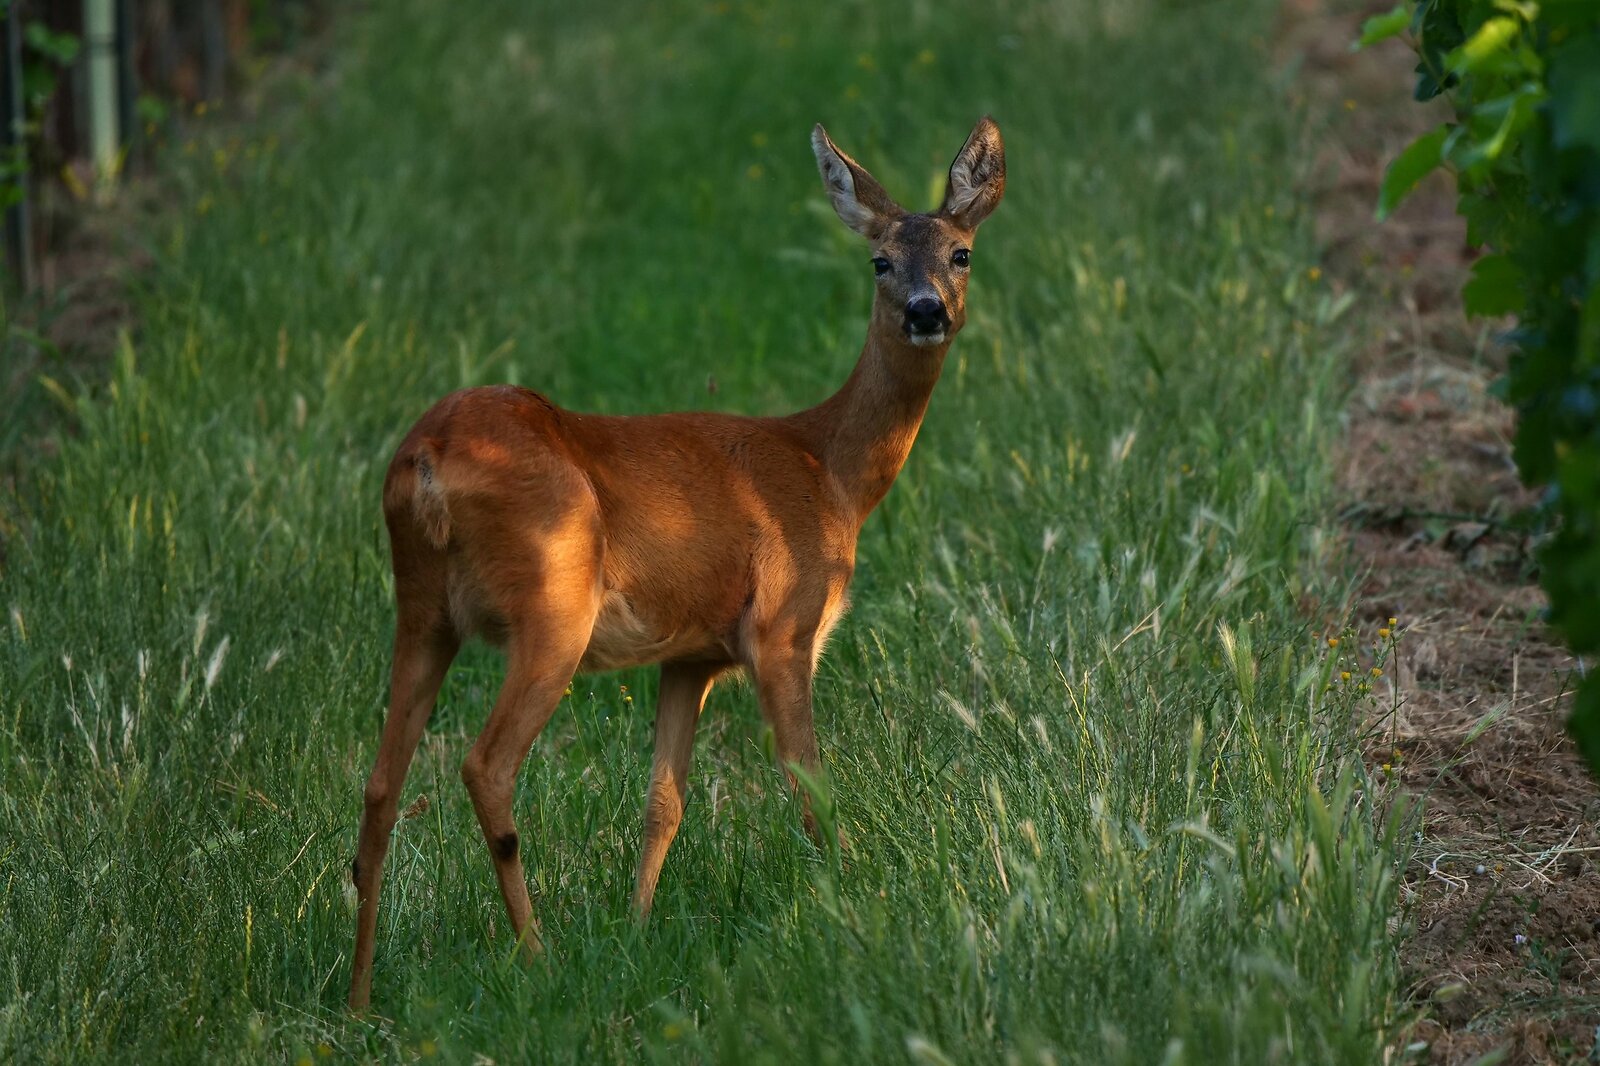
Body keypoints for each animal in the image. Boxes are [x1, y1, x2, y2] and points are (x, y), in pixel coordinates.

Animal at [347, 117, 1005, 1010]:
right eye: (879, 261)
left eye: (960, 252)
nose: (925, 310)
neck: (829, 471)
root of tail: (425, 460)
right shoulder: (783, 628)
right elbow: (809, 784)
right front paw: (851, 911)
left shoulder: (689, 655)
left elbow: (664, 801)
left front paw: (636, 931)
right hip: (552, 604)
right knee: (486, 765)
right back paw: (537, 956)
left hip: (420, 610)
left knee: (381, 786)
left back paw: (358, 996)